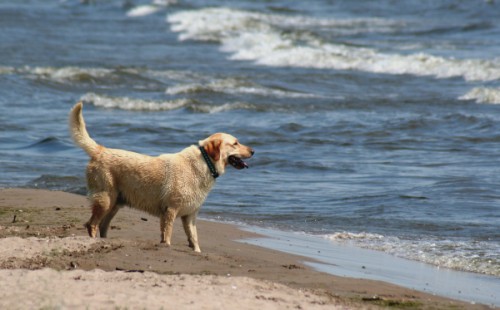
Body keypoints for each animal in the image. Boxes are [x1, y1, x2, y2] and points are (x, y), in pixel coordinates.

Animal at [68, 101, 254, 252]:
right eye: (235, 143)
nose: (253, 151)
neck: (205, 163)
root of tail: (100, 150)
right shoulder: (170, 210)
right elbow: (167, 235)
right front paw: (167, 247)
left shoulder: (190, 215)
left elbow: (194, 239)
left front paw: (197, 252)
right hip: (105, 199)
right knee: (92, 224)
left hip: (115, 203)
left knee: (103, 225)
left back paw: (106, 242)